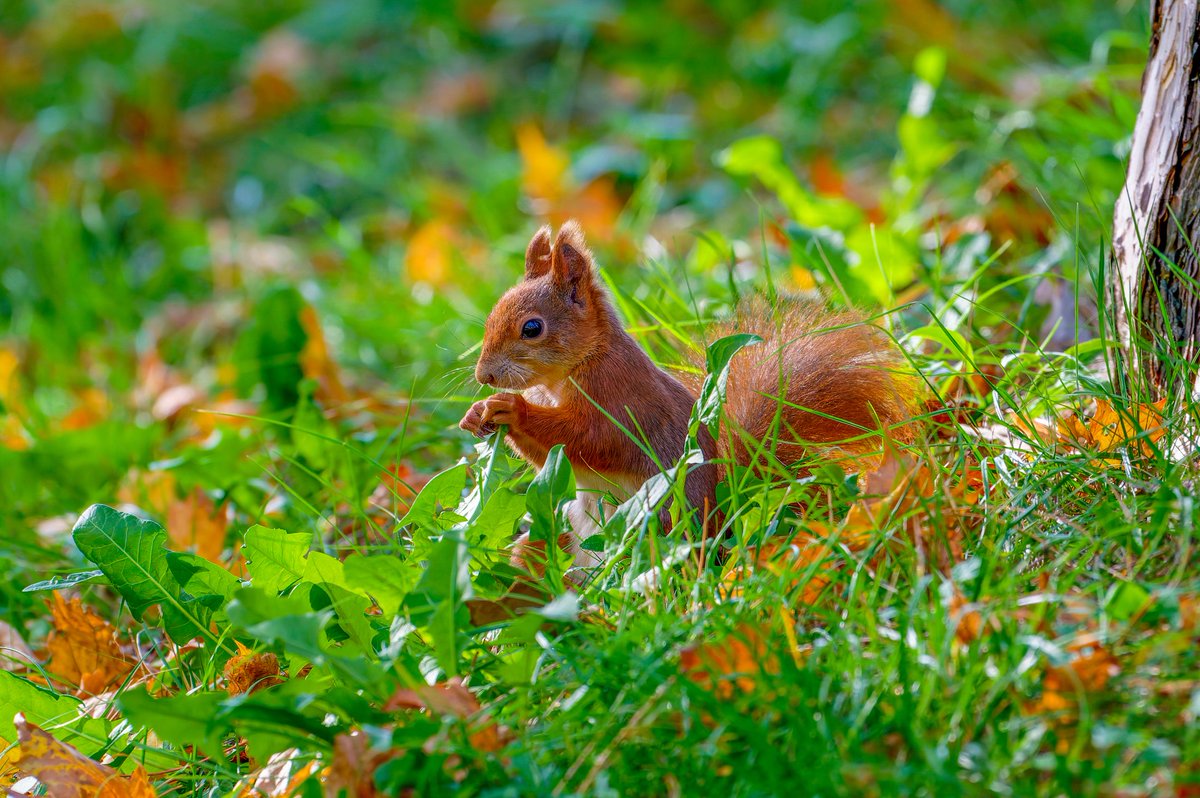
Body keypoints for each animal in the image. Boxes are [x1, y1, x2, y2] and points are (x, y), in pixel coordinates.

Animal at [459, 220, 917, 569]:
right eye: (493, 314)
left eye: (532, 328)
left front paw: (512, 409)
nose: (485, 376)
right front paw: (476, 414)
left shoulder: (620, 397)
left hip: (654, 530)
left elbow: (593, 439)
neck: (565, 375)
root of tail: (721, 530)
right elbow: (553, 460)